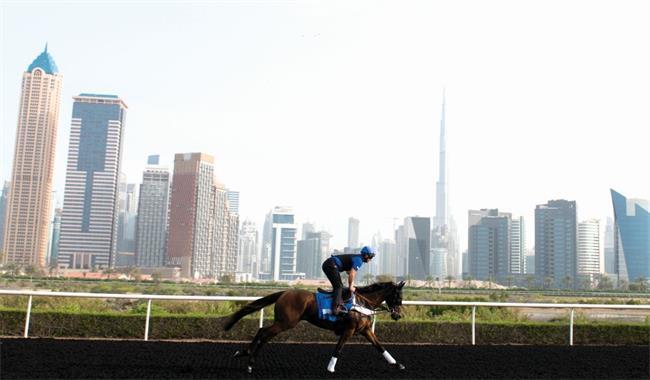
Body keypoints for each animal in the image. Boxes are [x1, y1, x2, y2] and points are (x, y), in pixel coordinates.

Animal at [223, 280, 404, 372]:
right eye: (398, 297)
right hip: (286, 322)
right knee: (264, 334)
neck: (361, 303)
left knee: (262, 331)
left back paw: (245, 354)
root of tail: (285, 292)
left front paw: (397, 364)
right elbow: (338, 348)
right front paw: (330, 368)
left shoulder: (365, 330)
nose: (398, 315)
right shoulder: (349, 330)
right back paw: (250, 362)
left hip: (283, 322)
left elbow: (380, 347)